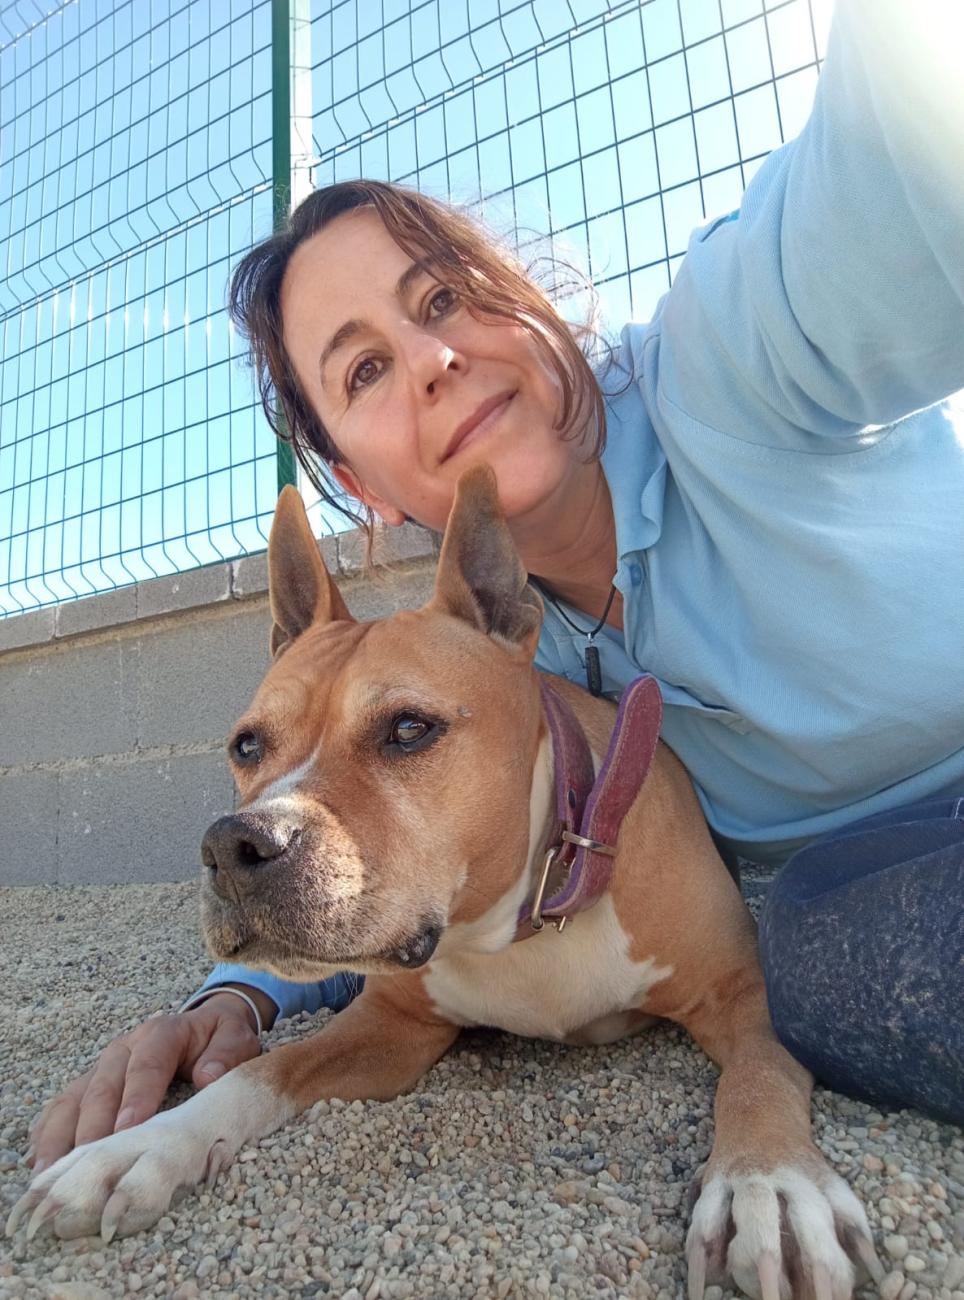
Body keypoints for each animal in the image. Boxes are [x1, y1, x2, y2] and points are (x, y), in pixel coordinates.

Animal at [9, 466, 881, 1299]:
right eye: (247, 745)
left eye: (408, 728)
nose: (233, 844)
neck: (520, 921)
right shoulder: (391, 1027)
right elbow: (259, 1071)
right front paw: (140, 1146)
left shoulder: (745, 988)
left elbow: (759, 1078)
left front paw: (769, 1187)